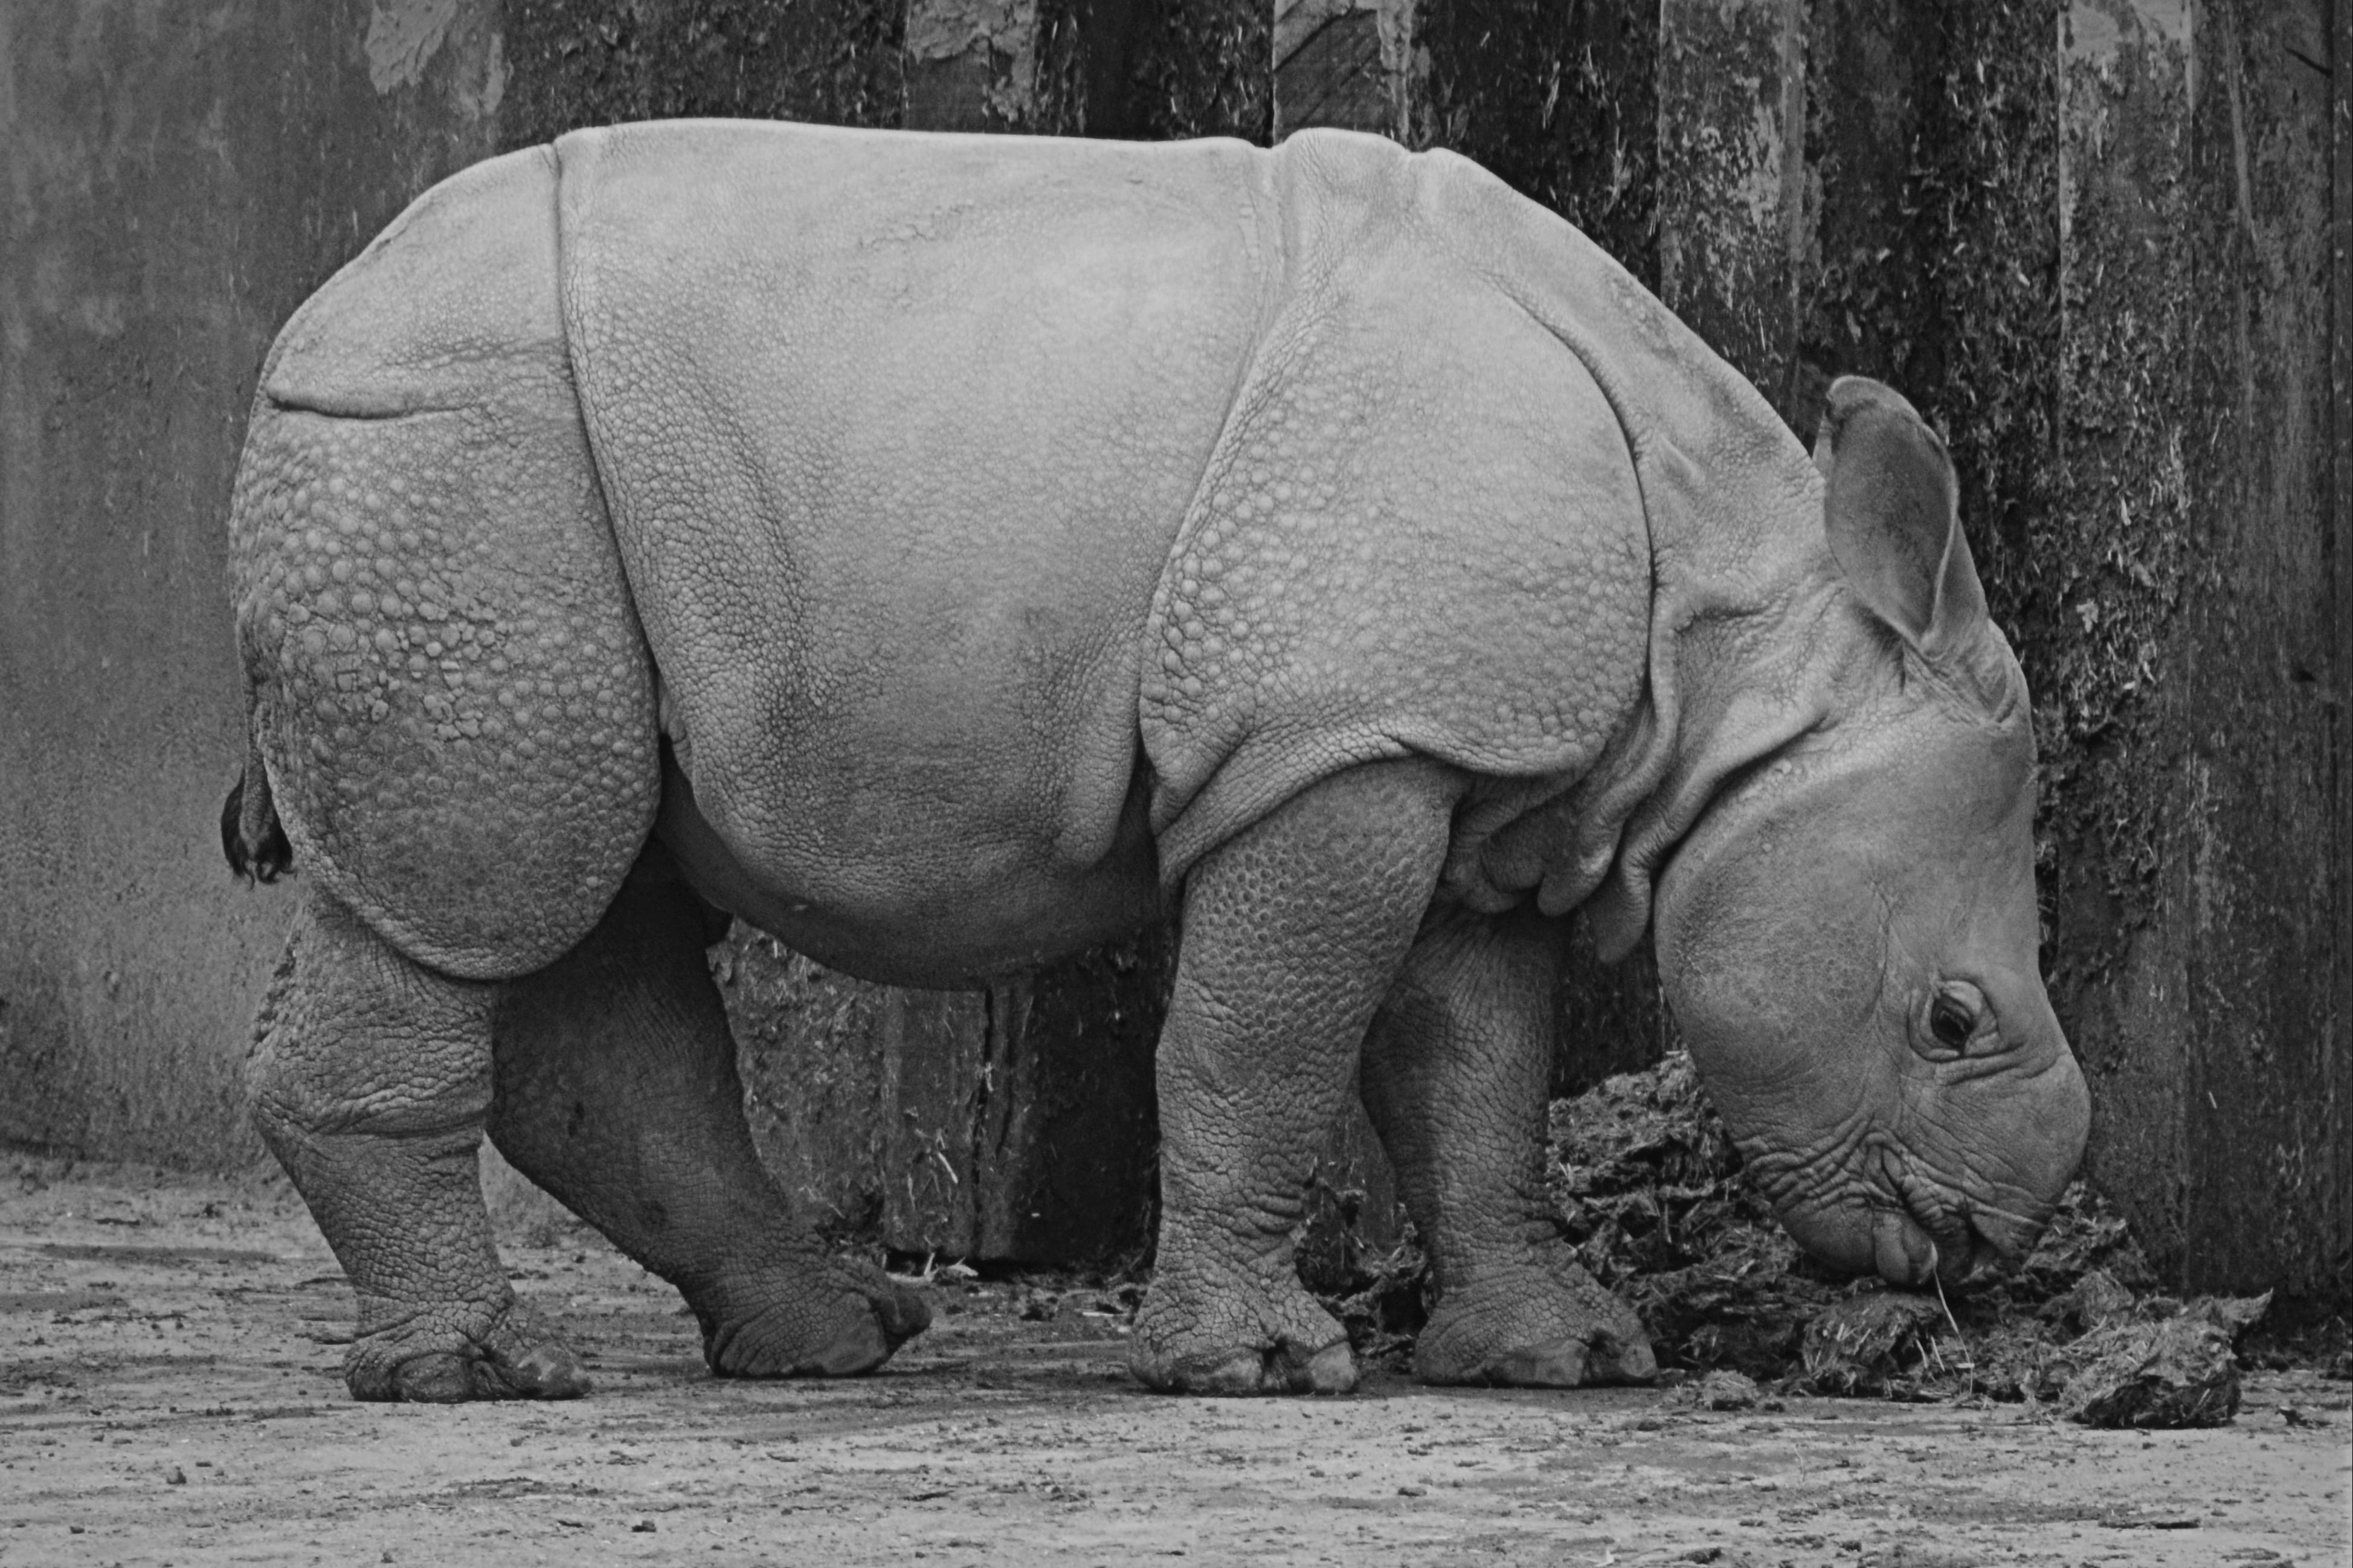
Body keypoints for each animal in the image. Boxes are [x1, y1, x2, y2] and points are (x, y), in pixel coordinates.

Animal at [219, 119, 2090, 1402]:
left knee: (588, 899)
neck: (1735, 655)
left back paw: (829, 1338)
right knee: (479, 886)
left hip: (525, 489)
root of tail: (303, 327)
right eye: (1949, 1019)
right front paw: (1260, 1367)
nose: (1986, 1243)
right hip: (452, 460)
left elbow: (1471, 1073)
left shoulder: (1468, 752)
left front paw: (1560, 1355)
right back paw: (476, 1374)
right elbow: (1267, 1037)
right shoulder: (1336, 743)